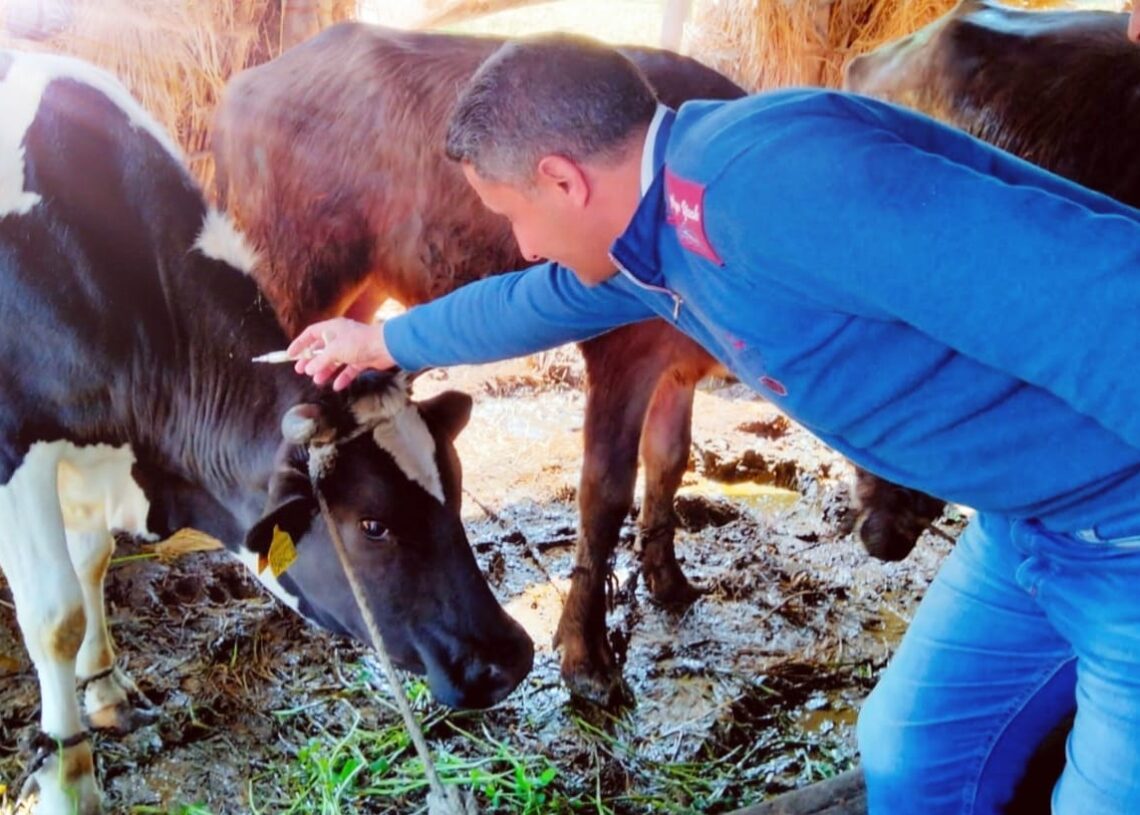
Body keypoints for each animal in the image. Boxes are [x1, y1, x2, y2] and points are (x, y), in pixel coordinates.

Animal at [0, 52, 533, 815]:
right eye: (372, 524)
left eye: (456, 492)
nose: (509, 657)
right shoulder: (20, 449)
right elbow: (56, 614)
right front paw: (67, 782)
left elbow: (92, 562)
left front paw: (104, 691)